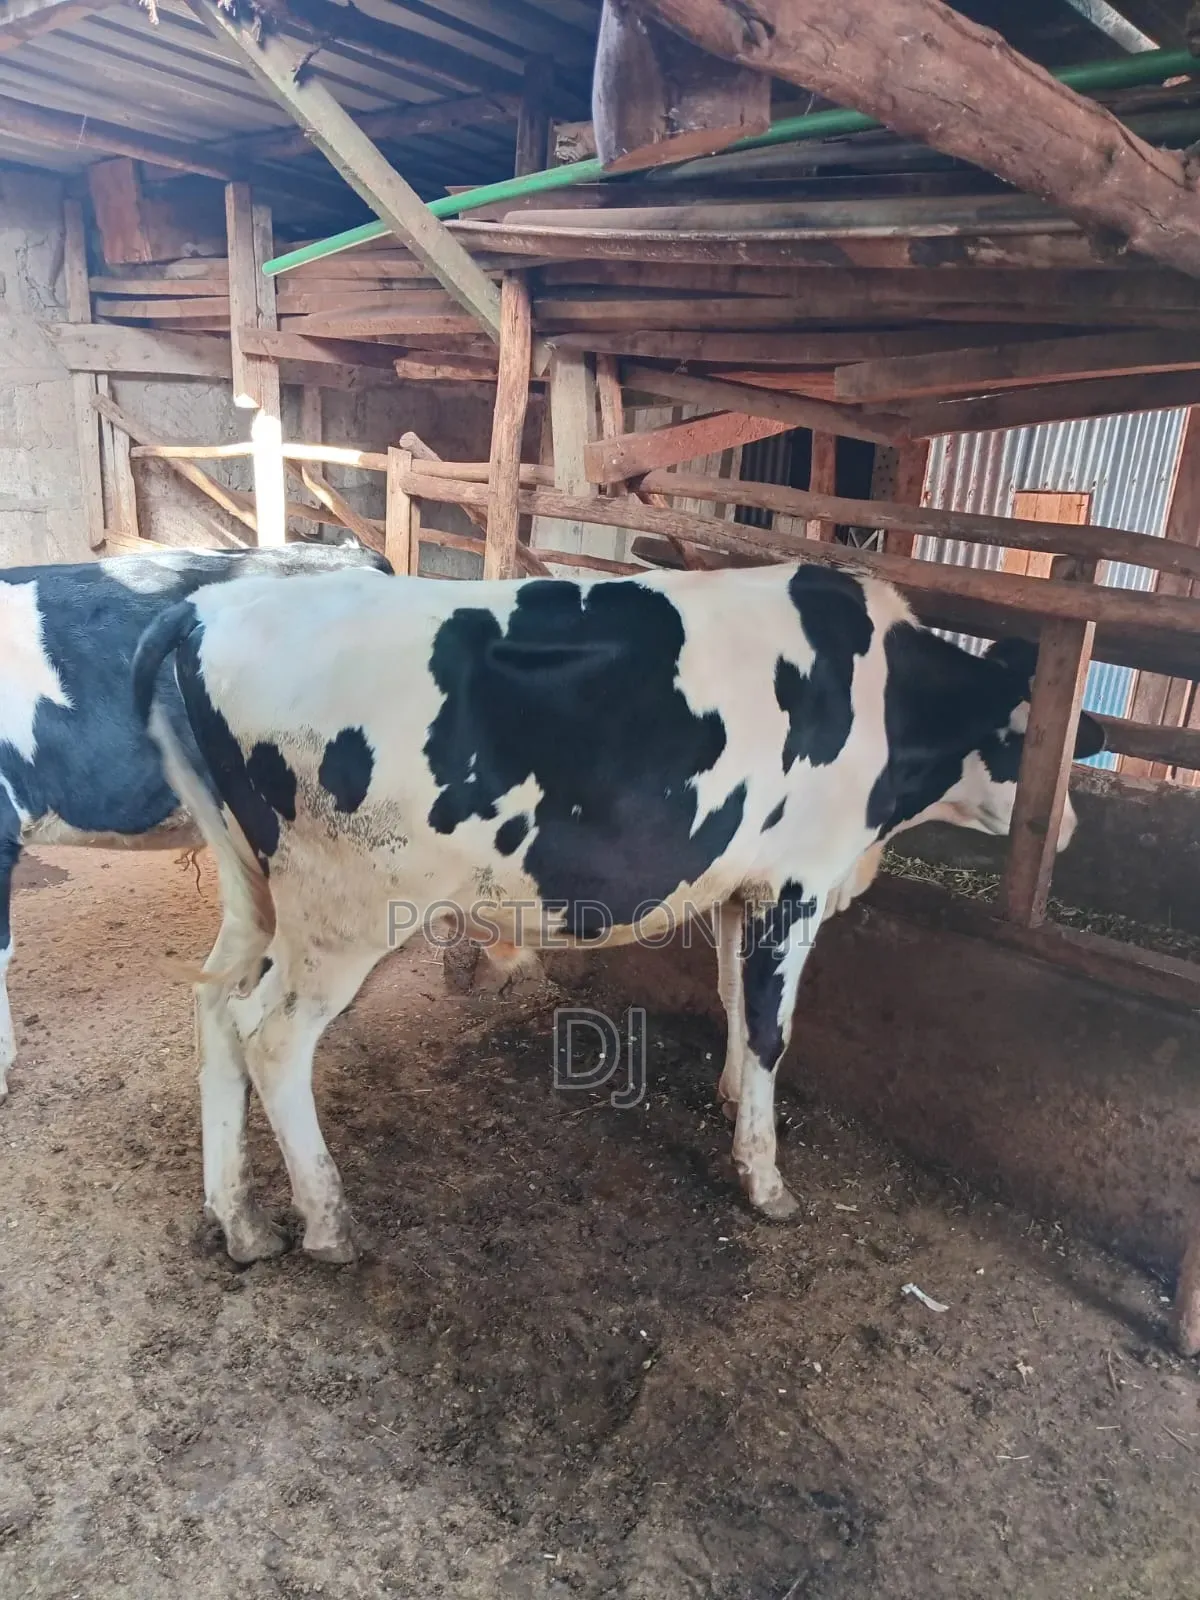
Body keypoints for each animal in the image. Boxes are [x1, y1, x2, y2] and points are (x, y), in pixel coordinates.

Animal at [132, 562, 1103, 1264]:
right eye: (1031, 749)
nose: (1067, 830)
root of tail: (208, 606)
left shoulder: (739, 884)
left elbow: (733, 1001)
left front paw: (729, 1100)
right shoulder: (795, 884)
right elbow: (773, 1028)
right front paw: (766, 1180)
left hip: (256, 890)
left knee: (214, 1004)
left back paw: (241, 1222)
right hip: (345, 910)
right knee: (270, 1035)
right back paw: (328, 1223)